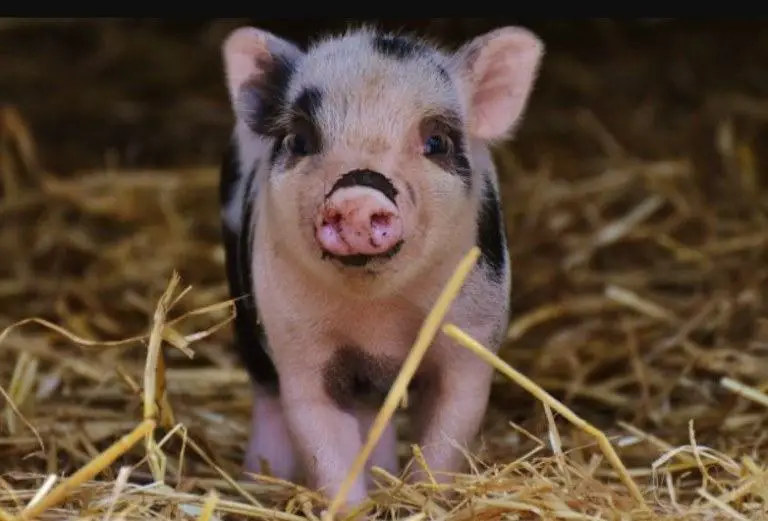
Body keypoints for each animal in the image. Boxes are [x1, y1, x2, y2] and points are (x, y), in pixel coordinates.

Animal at [218, 24, 544, 509]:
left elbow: (448, 435)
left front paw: (423, 500)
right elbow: (323, 441)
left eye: (436, 142)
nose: (358, 195)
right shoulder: (299, 349)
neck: (378, 321)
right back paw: (260, 481)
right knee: (268, 396)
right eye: (300, 140)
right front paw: (354, 508)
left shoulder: (471, 339)